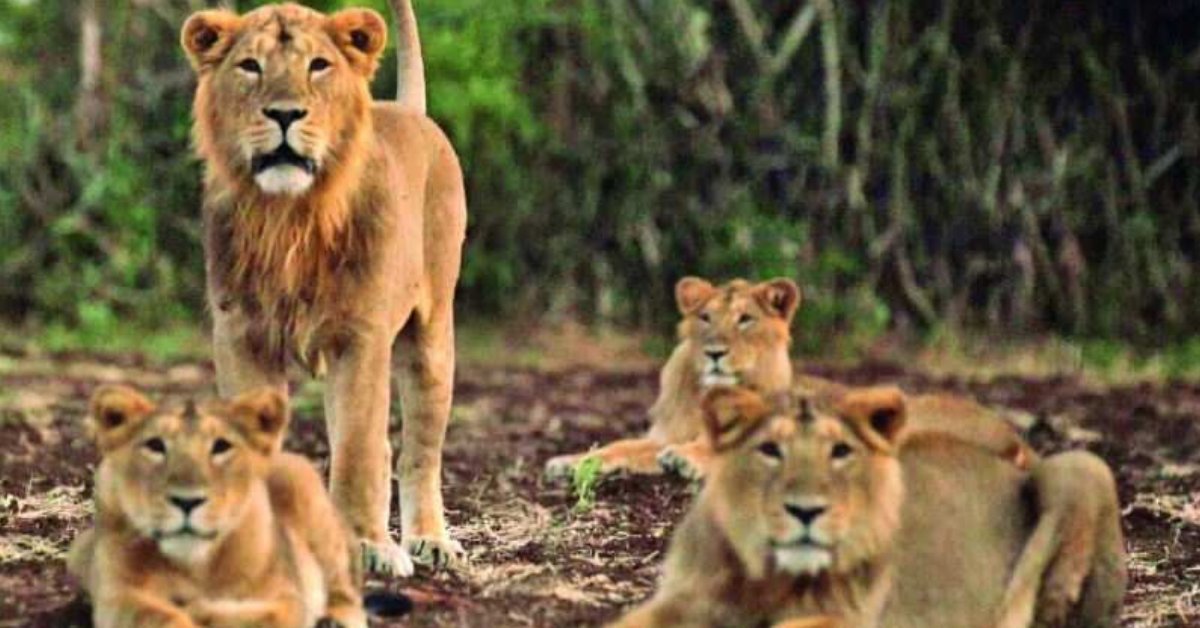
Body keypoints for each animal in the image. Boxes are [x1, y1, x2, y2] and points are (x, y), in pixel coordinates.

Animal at [67, 385, 375, 628]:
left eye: (221, 446)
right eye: (155, 445)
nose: (187, 501)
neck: (194, 564)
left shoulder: (287, 597)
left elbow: (263, 617)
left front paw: (203, 610)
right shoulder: (117, 596)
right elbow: (157, 617)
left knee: (345, 589)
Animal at [180, 0, 466, 575]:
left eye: (318, 66)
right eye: (250, 66)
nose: (285, 114)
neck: (289, 217)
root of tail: (412, 111)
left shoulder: (361, 338)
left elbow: (357, 449)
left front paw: (368, 548)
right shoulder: (241, 335)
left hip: (431, 336)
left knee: (418, 449)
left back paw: (430, 541)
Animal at [544, 277, 801, 479]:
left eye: (745, 319)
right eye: (706, 317)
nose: (714, 352)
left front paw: (684, 457)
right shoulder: (668, 435)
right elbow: (620, 447)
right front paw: (570, 462)